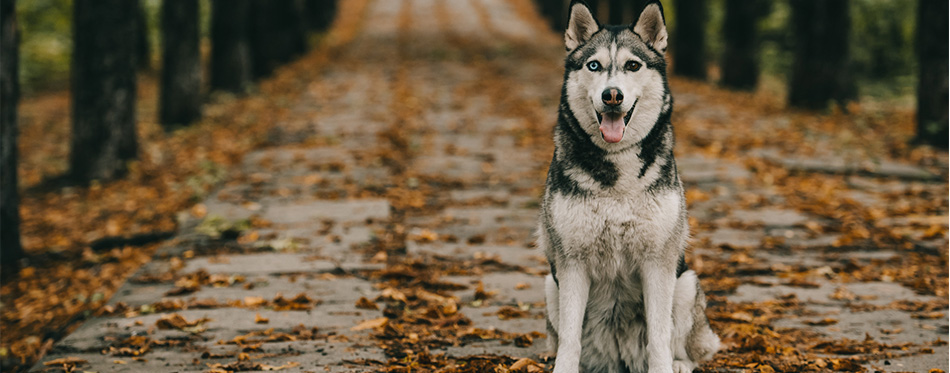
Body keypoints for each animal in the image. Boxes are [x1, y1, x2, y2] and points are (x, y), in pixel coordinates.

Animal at [536, 1, 720, 370]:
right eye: (594, 65)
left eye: (632, 65)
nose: (612, 95)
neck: (617, 172)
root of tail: (618, 358)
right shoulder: (571, 263)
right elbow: (569, 338)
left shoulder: (658, 262)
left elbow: (659, 336)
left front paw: (664, 367)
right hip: (550, 284)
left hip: (686, 283)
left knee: (686, 347)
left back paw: (680, 363)